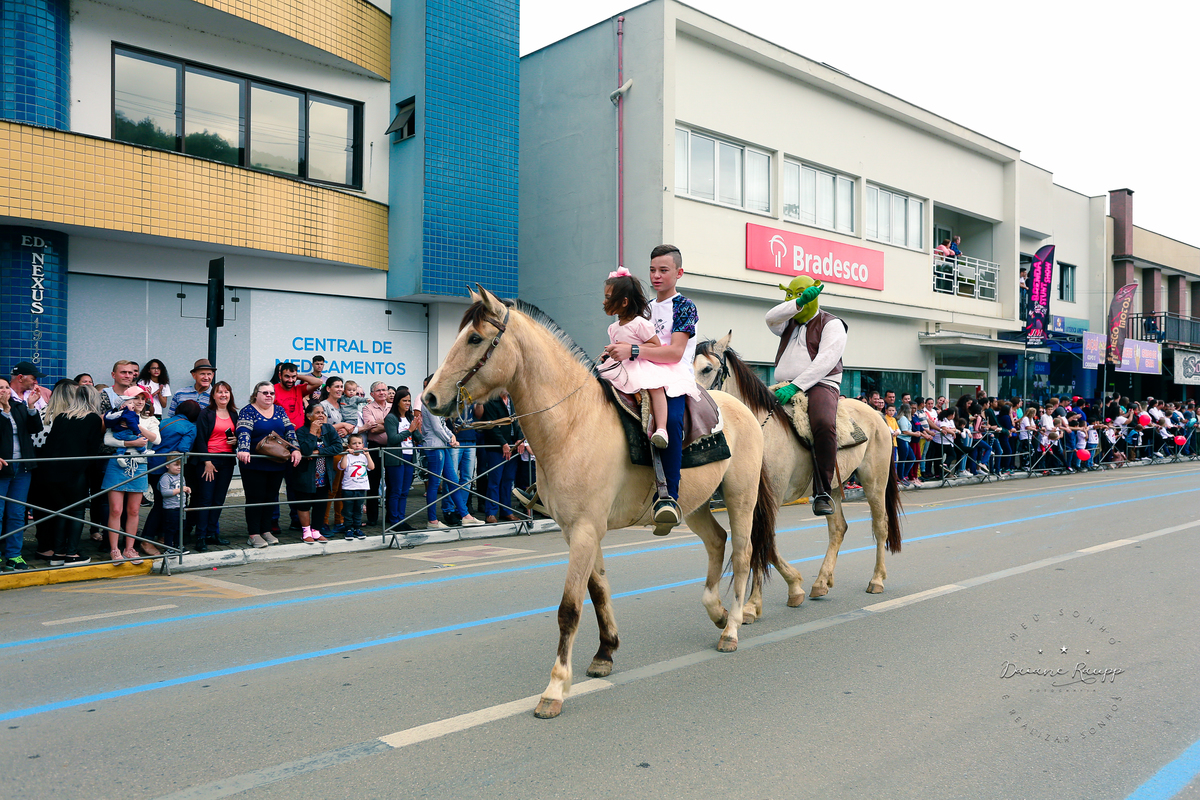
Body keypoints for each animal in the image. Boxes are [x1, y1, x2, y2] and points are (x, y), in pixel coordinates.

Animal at [423, 287, 787, 719]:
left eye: (475, 338)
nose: (429, 397)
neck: (572, 422)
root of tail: (741, 410)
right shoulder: (578, 530)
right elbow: (597, 592)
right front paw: (605, 653)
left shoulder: (584, 530)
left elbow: (569, 608)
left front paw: (555, 688)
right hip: (696, 504)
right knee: (717, 542)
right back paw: (715, 611)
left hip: (740, 497)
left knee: (744, 554)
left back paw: (731, 628)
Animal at [694, 332, 902, 608]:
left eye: (706, 368)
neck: (758, 432)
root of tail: (877, 415)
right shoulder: (746, 500)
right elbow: (762, 544)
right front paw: (792, 587)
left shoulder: (769, 499)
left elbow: (763, 543)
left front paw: (753, 604)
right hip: (831, 488)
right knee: (838, 529)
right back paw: (821, 582)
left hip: (875, 482)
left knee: (881, 525)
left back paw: (876, 580)